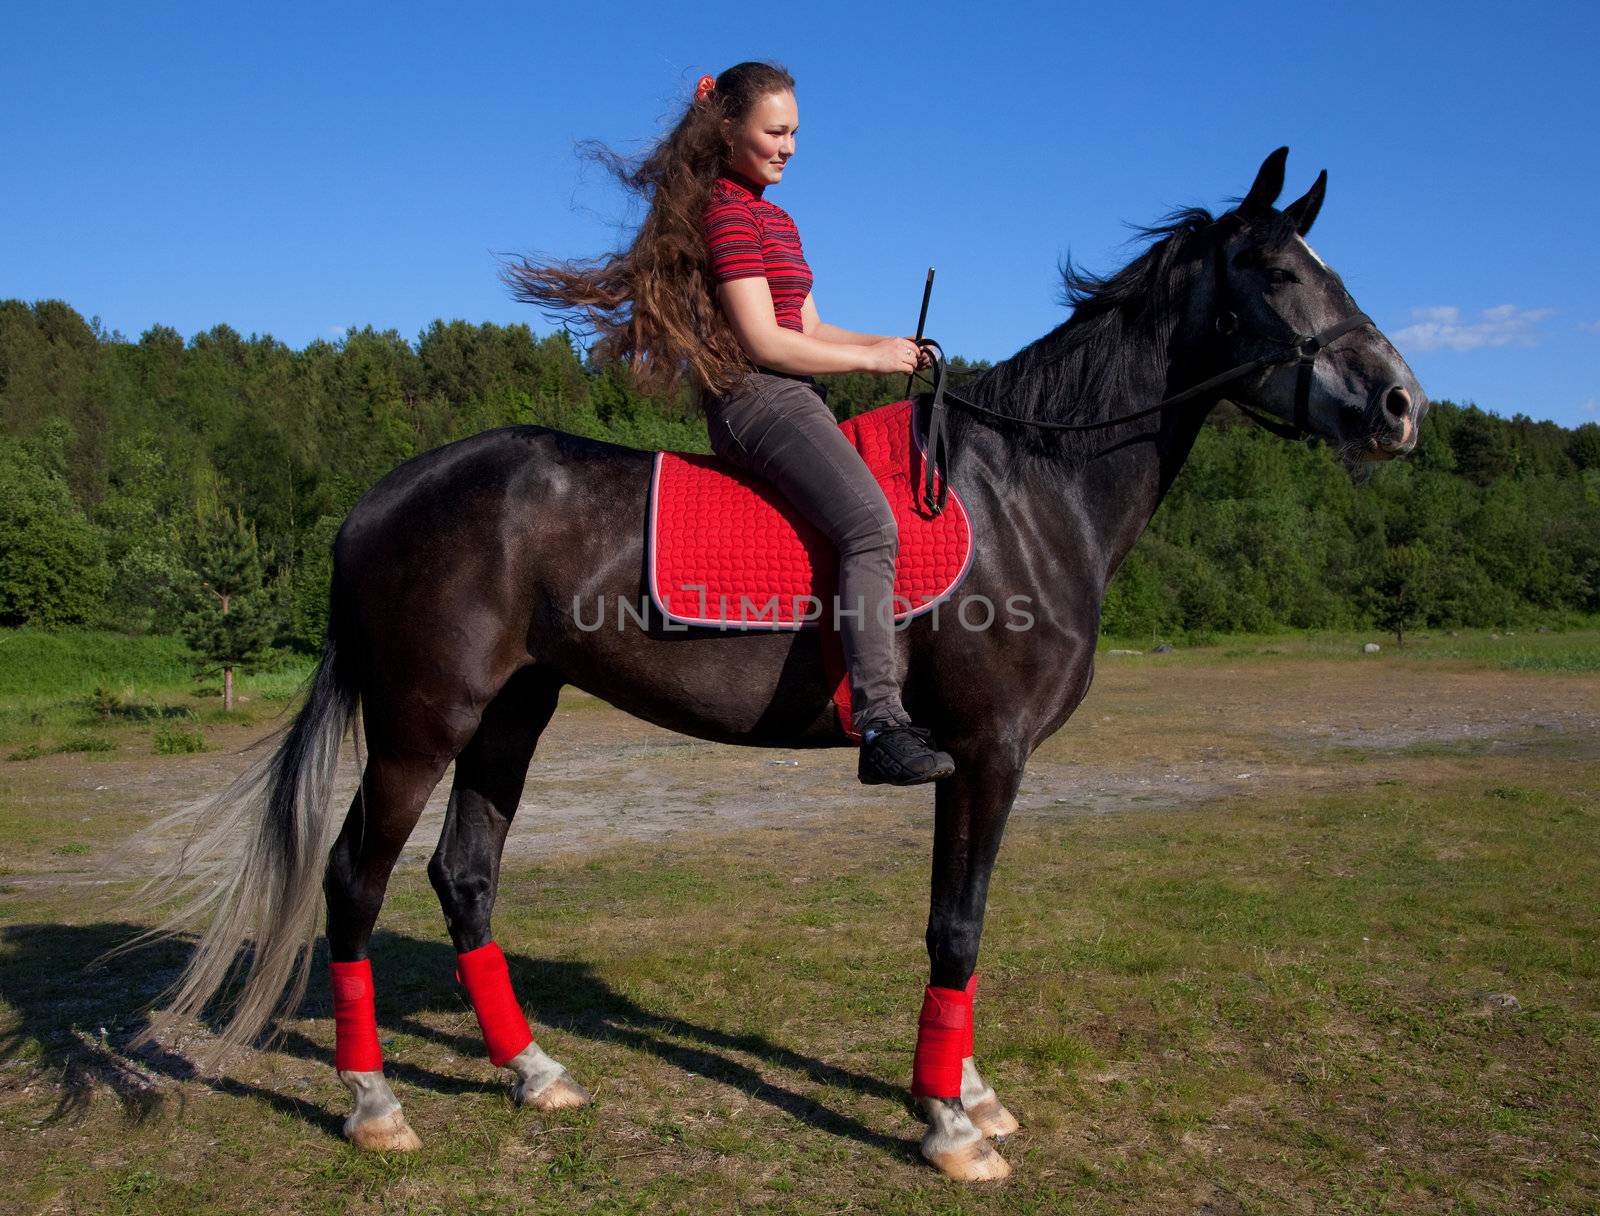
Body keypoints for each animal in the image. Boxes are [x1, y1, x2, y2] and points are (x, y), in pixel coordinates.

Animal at [140, 147, 1427, 1184]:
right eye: (1274, 272)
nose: (1399, 404)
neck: (1030, 490)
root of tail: (377, 499)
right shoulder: (989, 752)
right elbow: (959, 925)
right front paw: (948, 1125)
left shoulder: (975, 761)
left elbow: (953, 921)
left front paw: (961, 1093)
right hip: (423, 723)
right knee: (354, 881)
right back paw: (374, 1103)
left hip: (513, 712)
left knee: (464, 875)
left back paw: (533, 1071)